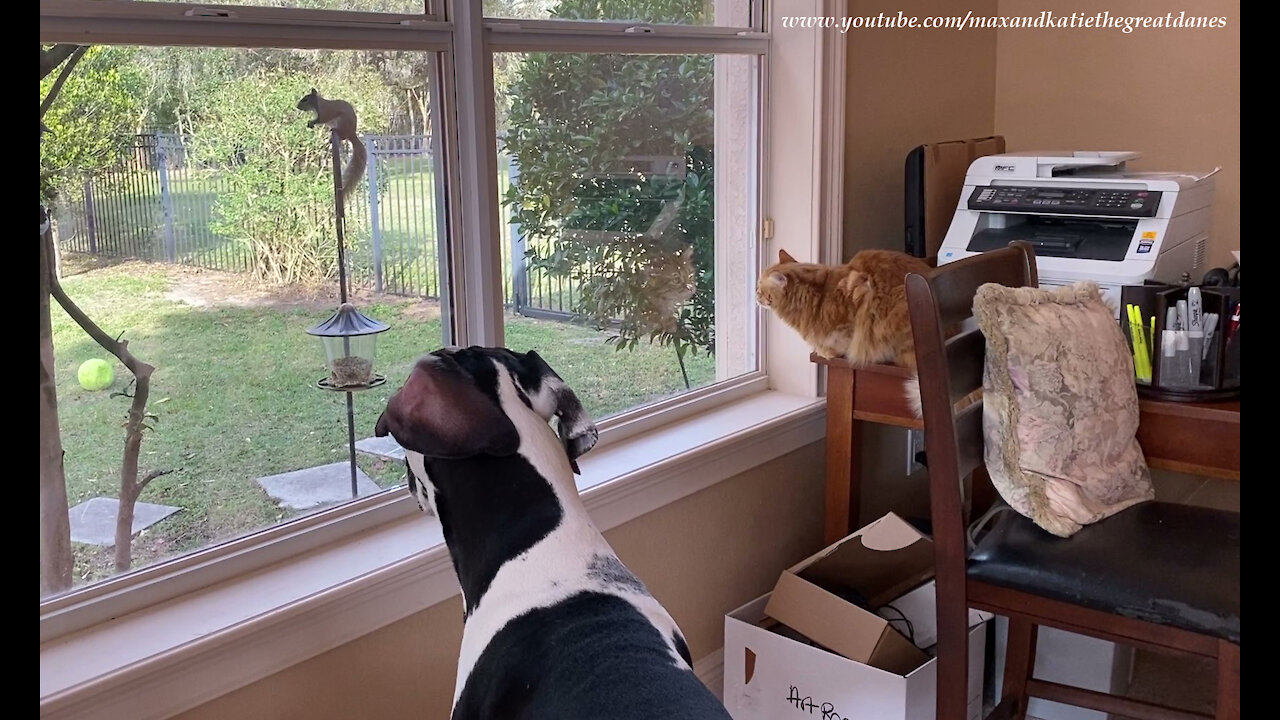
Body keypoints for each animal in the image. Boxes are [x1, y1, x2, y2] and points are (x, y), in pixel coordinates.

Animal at [757, 248, 931, 368]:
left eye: (760, 288)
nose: (755, 293)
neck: (818, 296)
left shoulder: (858, 299)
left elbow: (846, 340)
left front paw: (827, 351)